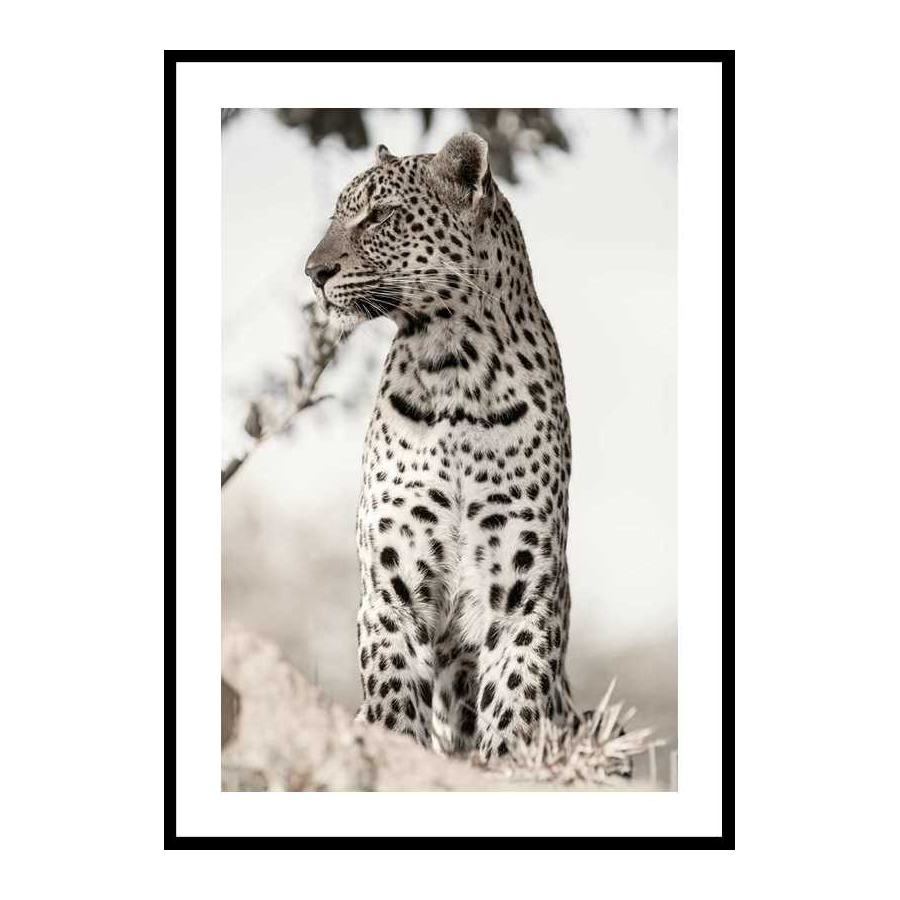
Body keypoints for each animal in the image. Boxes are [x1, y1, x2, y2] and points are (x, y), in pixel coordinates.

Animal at [305, 132, 582, 763]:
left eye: (380, 215)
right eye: (337, 216)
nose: (312, 272)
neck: (454, 365)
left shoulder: (525, 593)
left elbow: (514, 706)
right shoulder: (392, 587)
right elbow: (392, 701)